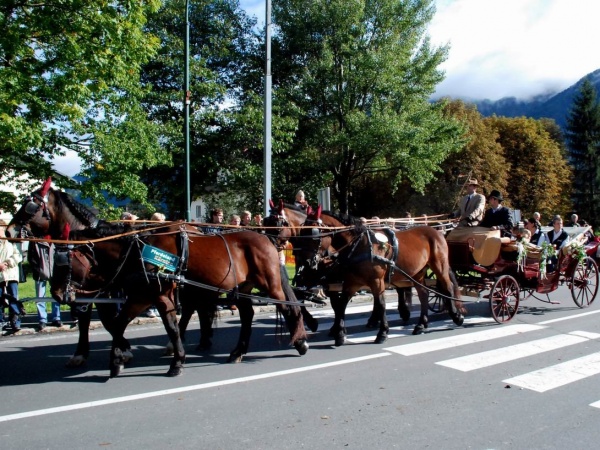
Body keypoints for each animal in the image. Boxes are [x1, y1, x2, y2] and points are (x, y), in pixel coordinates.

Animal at [292, 207, 464, 344]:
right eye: (302, 232)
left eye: (313, 234)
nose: (305, 263)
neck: (359, 245)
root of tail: (435, 231)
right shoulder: (352, 282)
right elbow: (341, 305)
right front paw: (339, 334)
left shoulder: (376, 281)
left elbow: (381, 304)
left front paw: (382, 332)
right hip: (417, 273)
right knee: (423, 294)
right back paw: (421, 324)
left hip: (439, 266)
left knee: (447, 287)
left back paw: (456, 316)